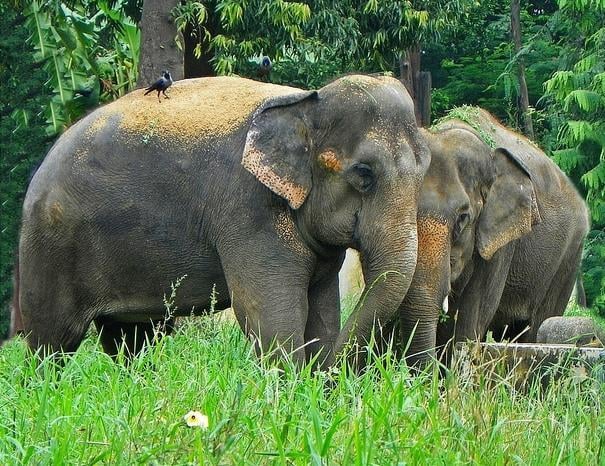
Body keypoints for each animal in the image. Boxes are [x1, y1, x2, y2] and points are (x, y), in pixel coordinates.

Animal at [14, 74, 430, 366]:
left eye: (424, 169)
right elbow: (270, 313)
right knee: (53, 342)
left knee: (132, 339)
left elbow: (323, 311)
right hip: (50, 246)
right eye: (364, 173)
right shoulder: (248, 211)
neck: (305, 103)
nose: (335, 373)